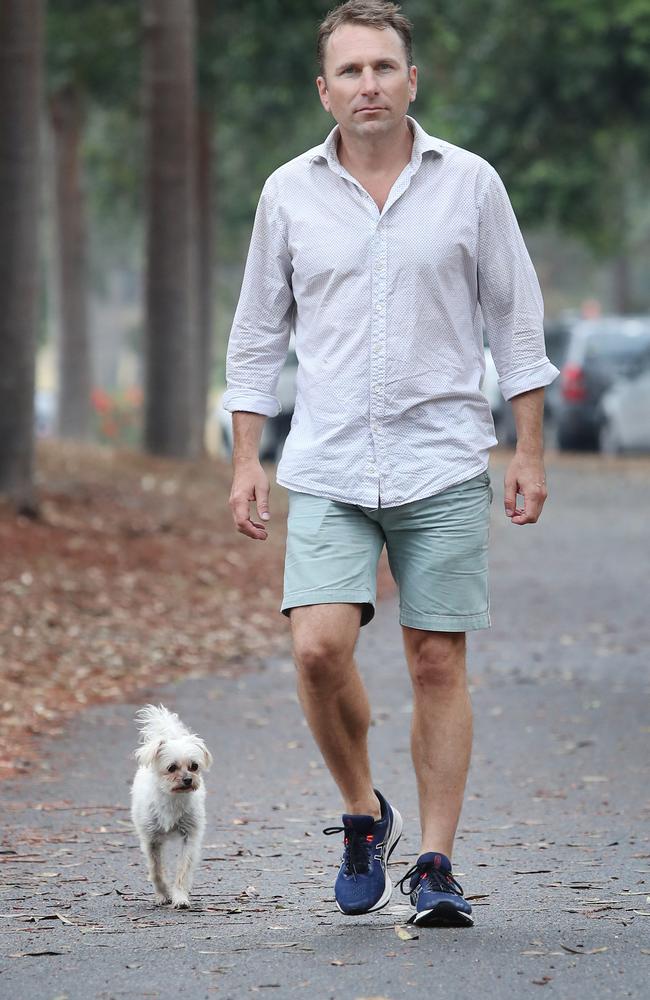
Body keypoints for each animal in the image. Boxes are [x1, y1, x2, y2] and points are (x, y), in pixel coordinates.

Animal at [130, 704, 213, 908]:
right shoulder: (151, 840)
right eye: (171, 768)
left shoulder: (189, 837)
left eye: (194, 766)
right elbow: (156, 870)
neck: (172, 798)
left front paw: (180, 897)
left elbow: (183, 870)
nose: (188, 779)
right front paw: (163, 895)